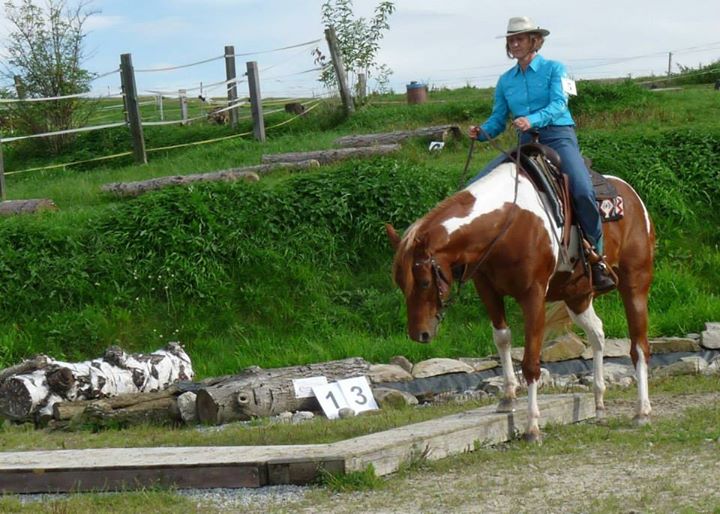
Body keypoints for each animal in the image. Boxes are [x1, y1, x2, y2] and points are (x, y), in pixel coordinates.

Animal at [386, 158, 656, 438]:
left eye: (425, 282)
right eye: (401, 284)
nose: (420, 334)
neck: (509, 223)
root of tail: (632, 196)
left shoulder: (533, 296)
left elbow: (530, 361)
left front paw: (532, 426)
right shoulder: (487, 290)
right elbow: (502, 338)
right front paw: (507, 398)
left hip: (635, 282)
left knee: (639, 346)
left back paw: (642, 412)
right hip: (577, 295)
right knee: (597, 333)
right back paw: (600, 403)